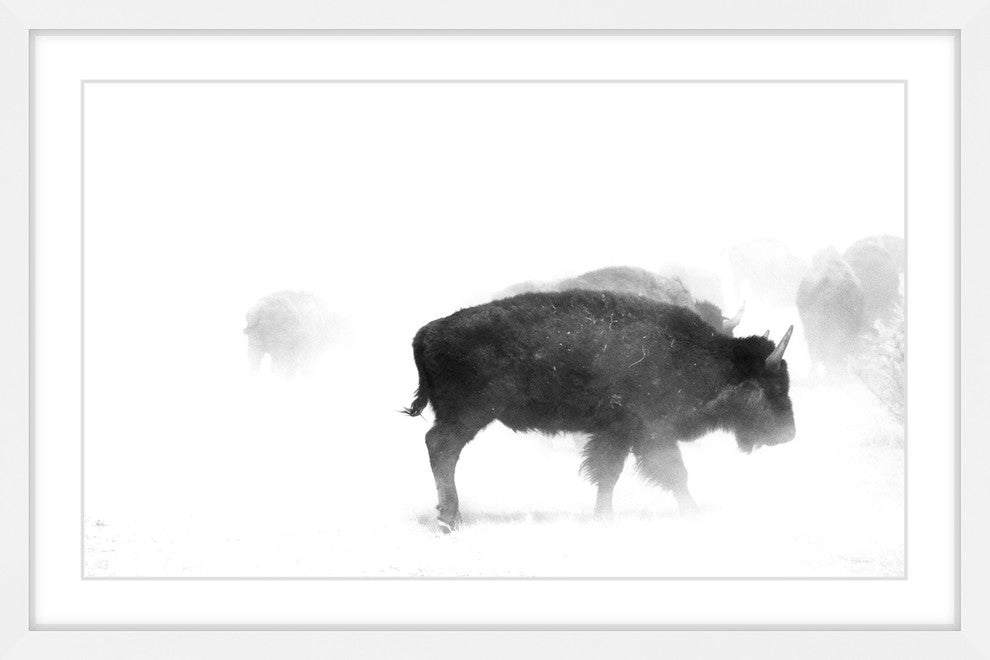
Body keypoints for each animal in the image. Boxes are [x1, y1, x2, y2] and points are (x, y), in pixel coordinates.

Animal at [405, 290, 796, 532]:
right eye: (774, 386)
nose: (788, 433)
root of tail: (426, 332)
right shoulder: (651, 433)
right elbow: (675, 473)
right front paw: (693, 513)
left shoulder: (617, 433)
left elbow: (608, 474)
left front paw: (603, 517)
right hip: (468, 415)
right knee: (441, 447)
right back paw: (450, 520)